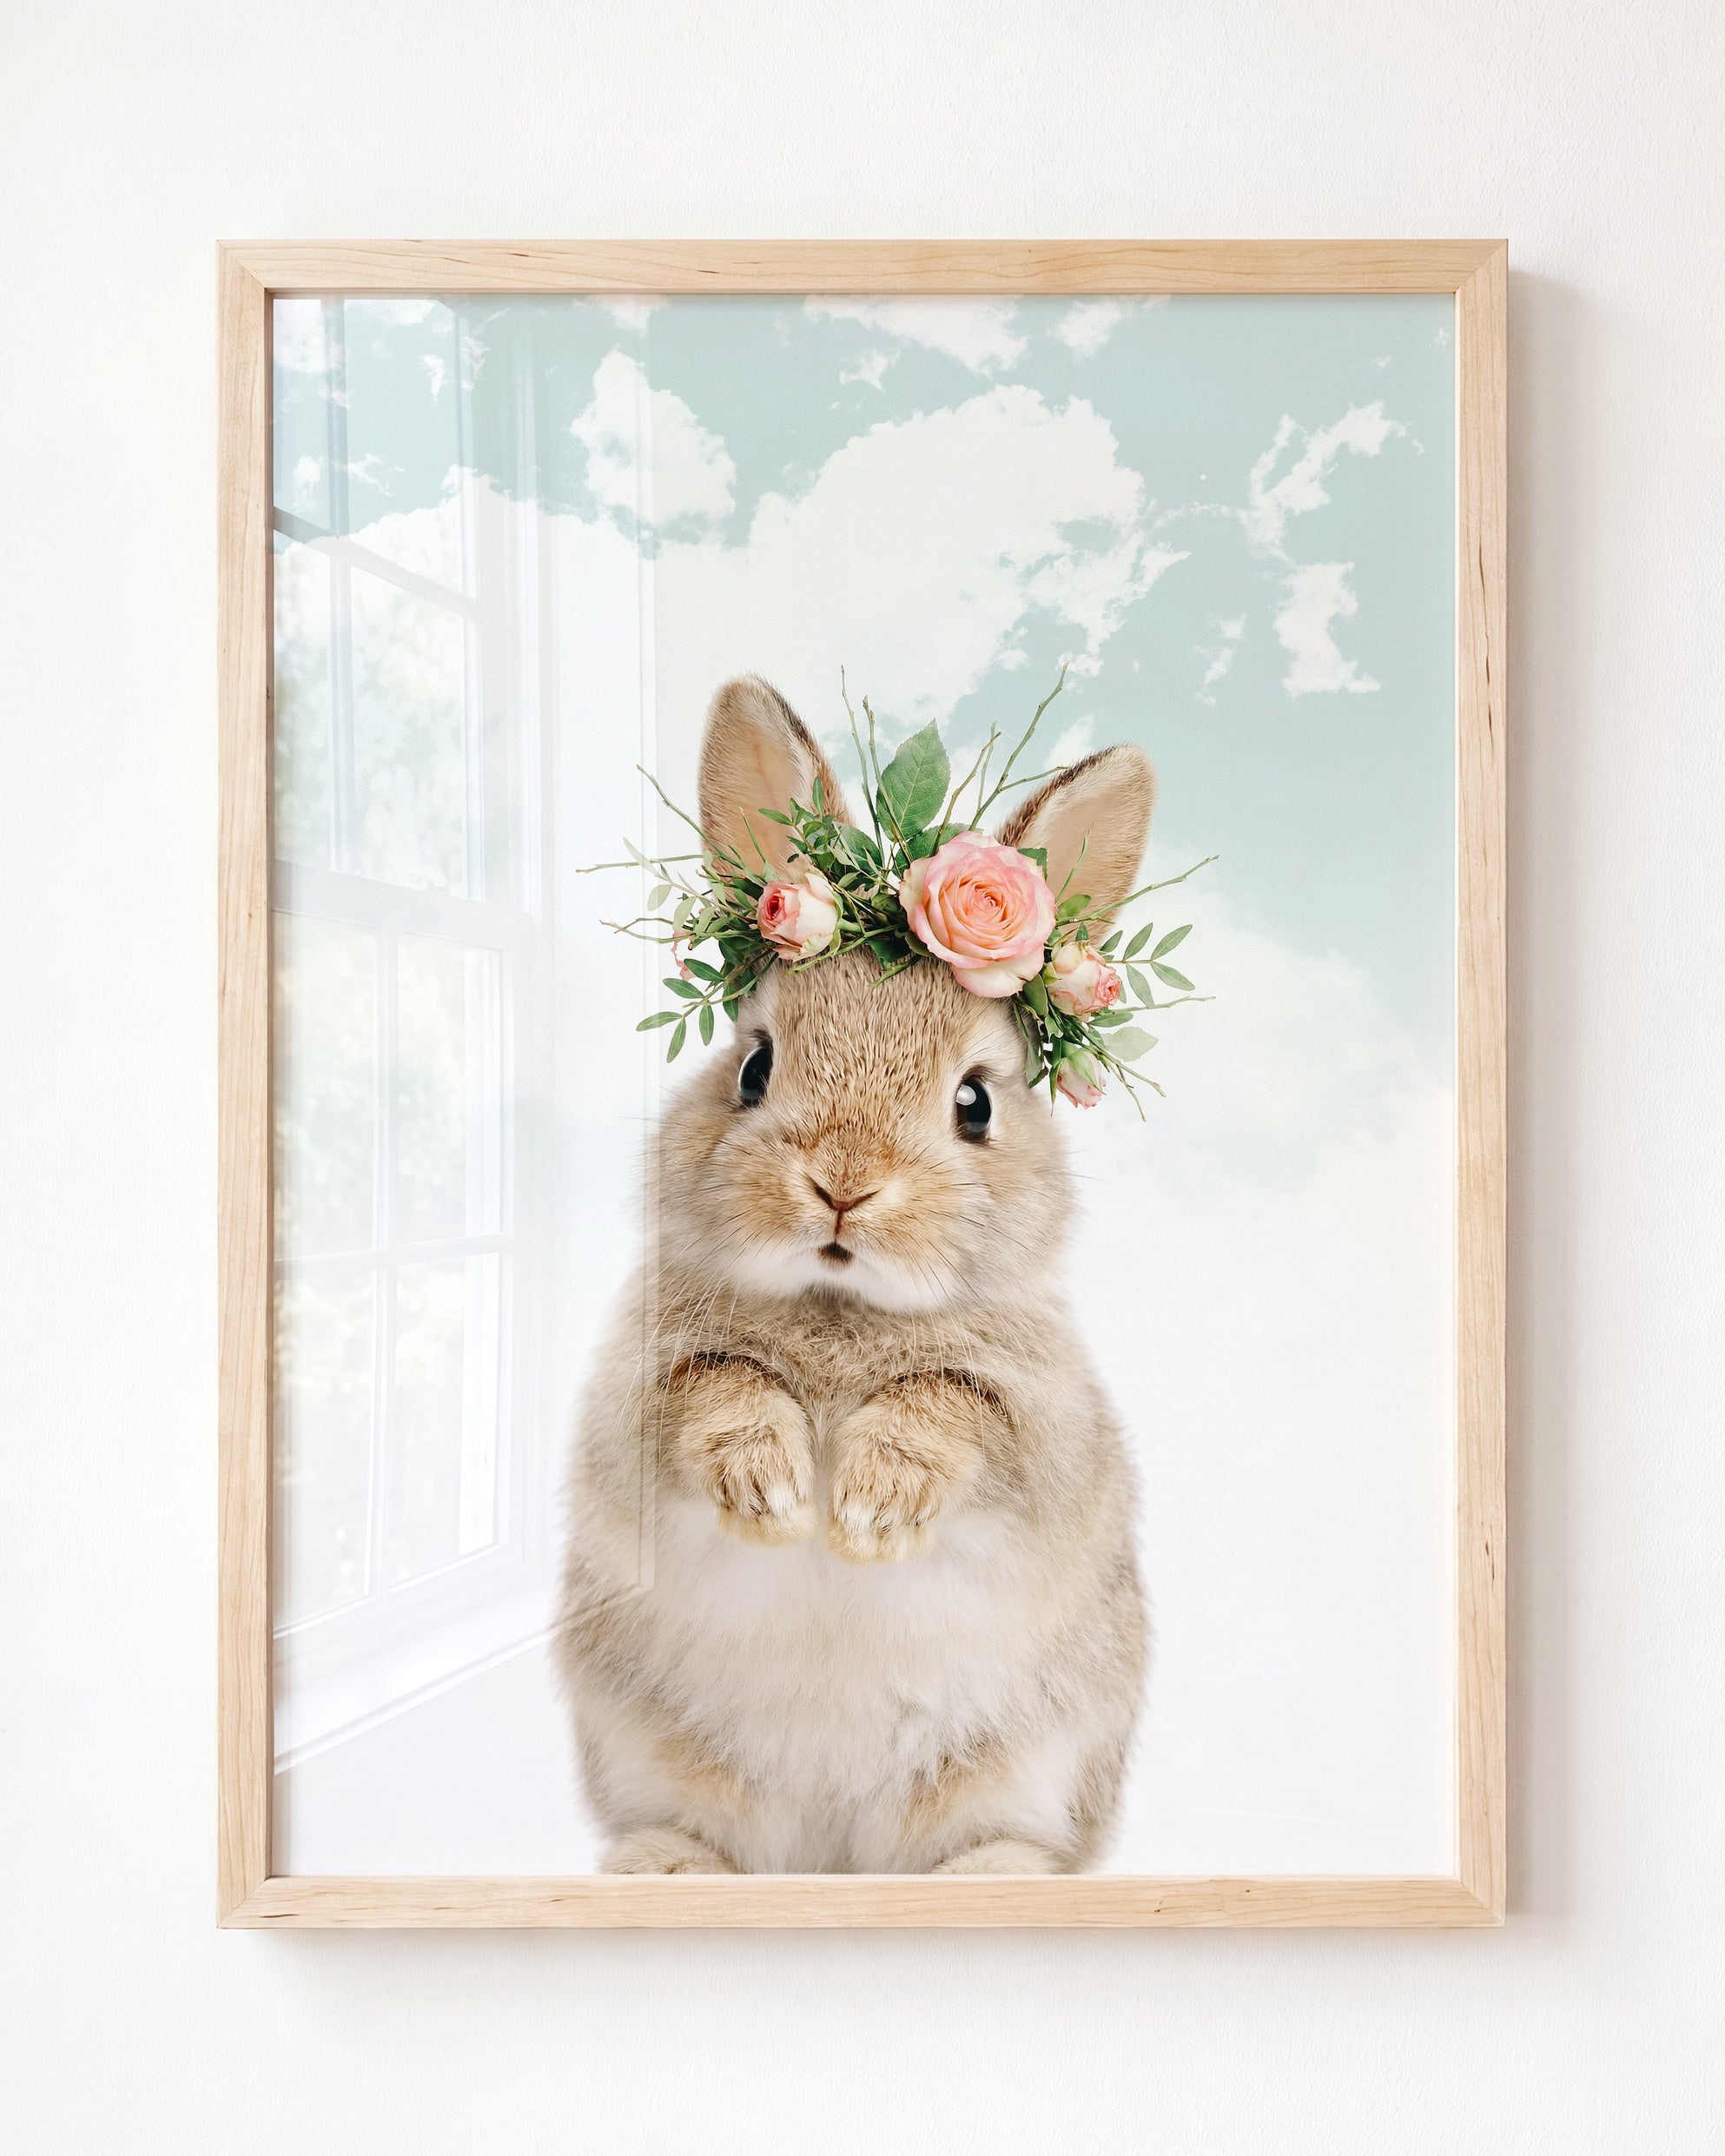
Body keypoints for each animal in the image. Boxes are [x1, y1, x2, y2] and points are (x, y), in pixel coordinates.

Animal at [553, 675, 1154, 1875]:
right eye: (753, 1066)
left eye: (975, 1101)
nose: (843, 1185)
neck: (841, 1307)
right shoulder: (635, 1396)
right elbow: (715, 1386)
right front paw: (776, 1493)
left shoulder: (1044, 1428)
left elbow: (951, 1406)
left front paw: (869, 1506)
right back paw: (665, 1870)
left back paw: (996, 1883)